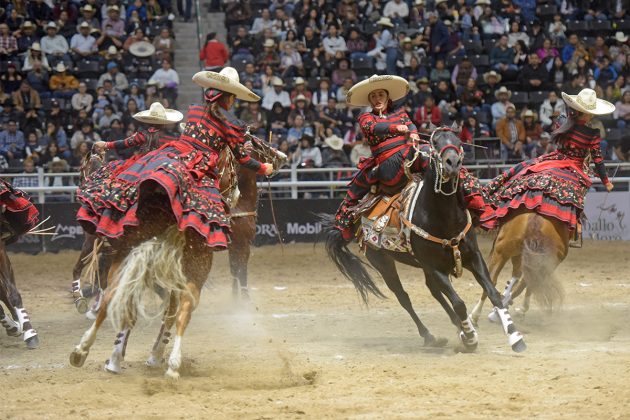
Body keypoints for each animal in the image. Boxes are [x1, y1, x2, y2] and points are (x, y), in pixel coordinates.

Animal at [324, 127, 524, 352]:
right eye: (434, 143)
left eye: (459, 142)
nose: (452, 163)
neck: (444, 217)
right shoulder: (435, 267)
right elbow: (458, 303)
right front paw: (471, 338)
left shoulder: (473, 257)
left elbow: (493, 293)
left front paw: (514, 336)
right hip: (383, 262)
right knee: (404, 297)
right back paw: (431, 336)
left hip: (422, 265)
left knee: (433, 291)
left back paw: (458, 329)